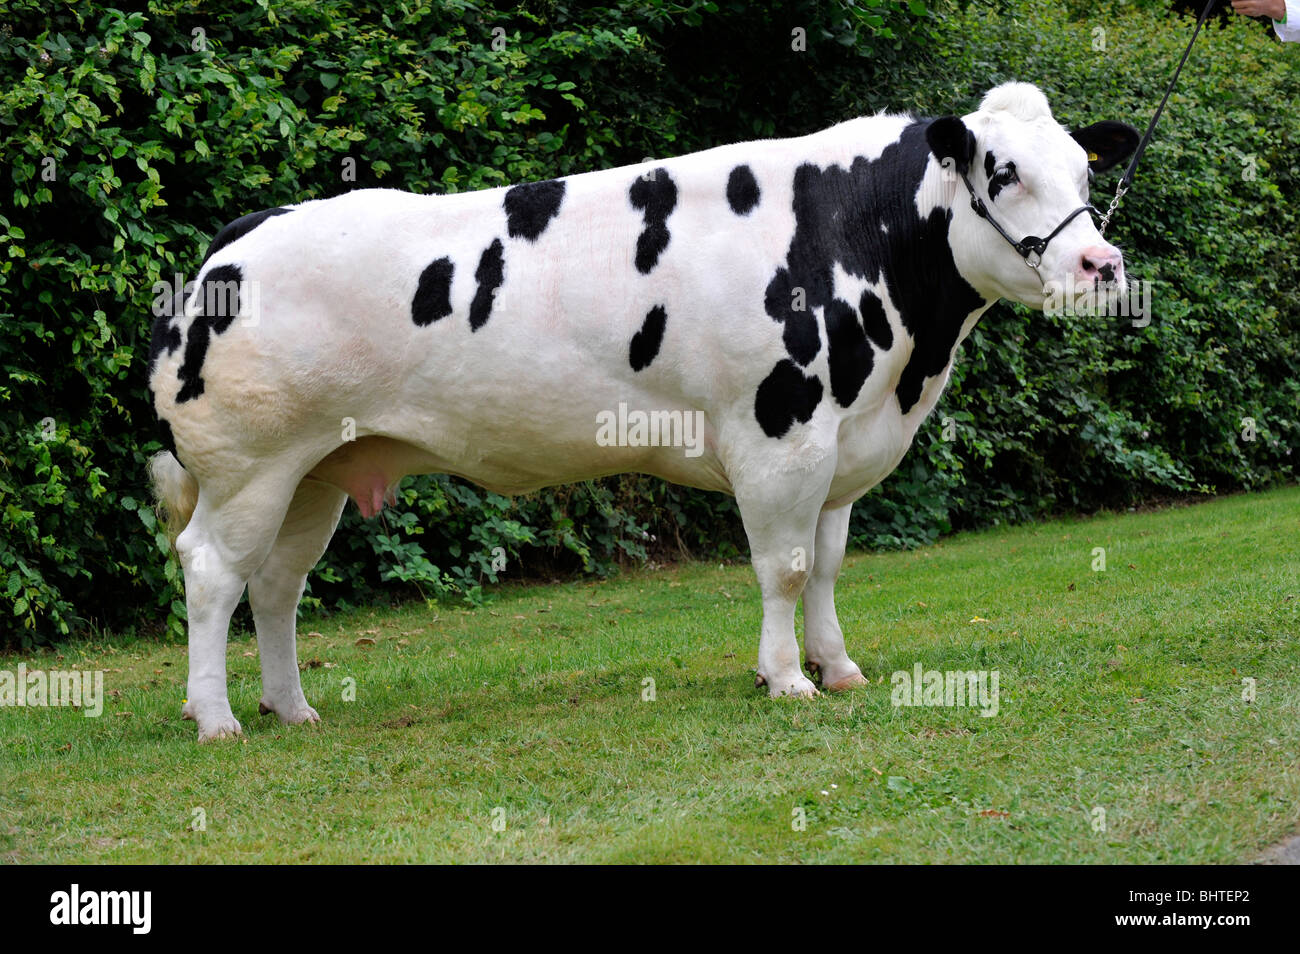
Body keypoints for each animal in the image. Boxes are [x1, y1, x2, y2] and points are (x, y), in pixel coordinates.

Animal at [149, 82, 1138, 743]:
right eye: (1002, 173)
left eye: (1085, 169)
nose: (1101, 265)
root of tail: (234, 240)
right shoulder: (780, 434)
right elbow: (783, 569)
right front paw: (786, 678)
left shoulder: (839, 444)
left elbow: (825, 568)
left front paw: (840, 668)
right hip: (248, 465)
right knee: (211, 572)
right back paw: (217, 718)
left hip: (315, 469)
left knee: (276, 584)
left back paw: (292, 708)